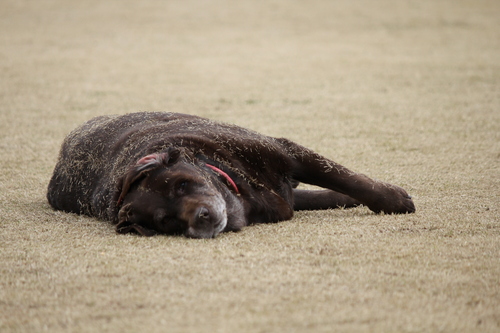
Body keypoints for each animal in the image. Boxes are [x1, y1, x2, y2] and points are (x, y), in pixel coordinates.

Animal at [47, 111, 416, 236]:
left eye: (182, 185)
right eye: (167, 222)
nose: (201, 218)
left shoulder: (288, 151)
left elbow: (349, 179)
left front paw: (393, 200)